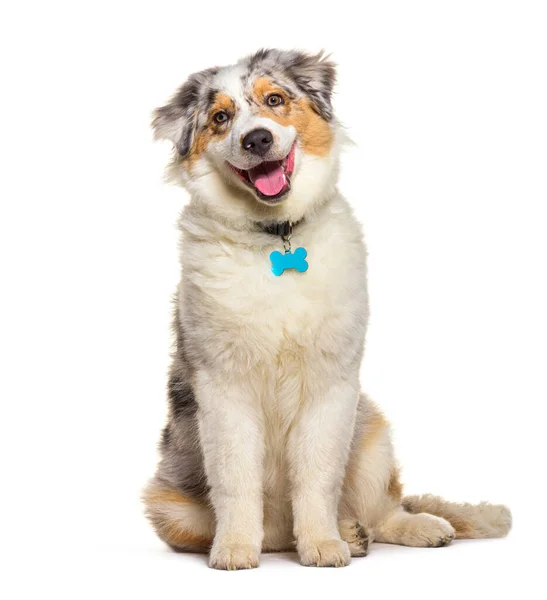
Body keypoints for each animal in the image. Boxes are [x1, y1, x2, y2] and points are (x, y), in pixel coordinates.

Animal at [143, 49, 512, 568]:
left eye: (274, 100)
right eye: (220, 118)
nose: (257, 139)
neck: (276, 238)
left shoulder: (332, 383)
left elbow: (318, 475)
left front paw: (322, 544)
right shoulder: (223, 387)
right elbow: (236, 478)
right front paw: (234, 548)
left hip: (371, 430)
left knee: (382, 508)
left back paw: (396, 529)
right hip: (169, 505)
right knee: (266, 527)